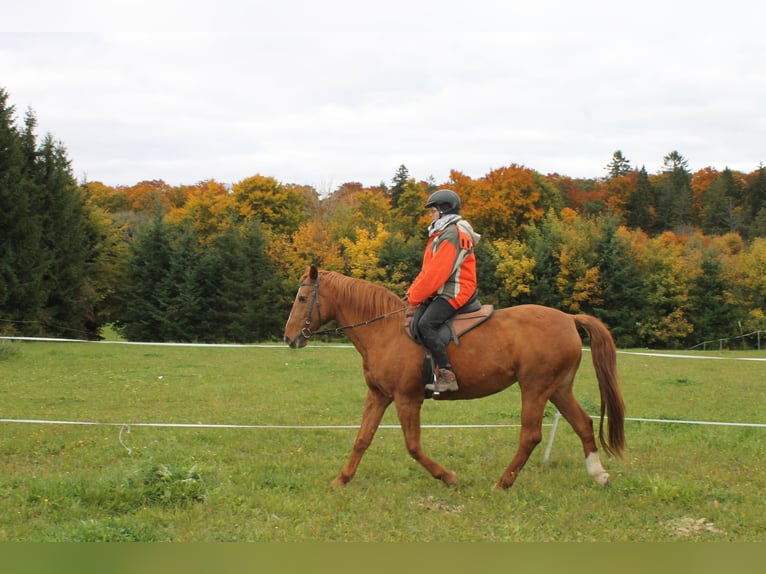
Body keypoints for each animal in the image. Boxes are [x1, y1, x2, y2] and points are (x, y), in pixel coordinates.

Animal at [283, 264, 625, 490]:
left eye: (302, 299)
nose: (289, 337)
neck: (385, 331)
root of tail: (568, 318)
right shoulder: (378, 395)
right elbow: (362, 439)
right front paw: (342, 478)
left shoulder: (407, 399)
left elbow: (413, 446)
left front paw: (447, 476)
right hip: (558, 389)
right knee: (583, 423)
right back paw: (598, 474)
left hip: (535, 389)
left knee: (531, 436)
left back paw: (503, 483)